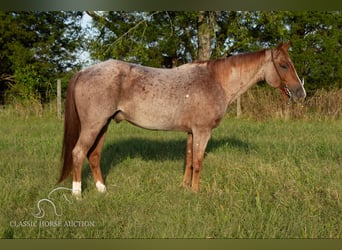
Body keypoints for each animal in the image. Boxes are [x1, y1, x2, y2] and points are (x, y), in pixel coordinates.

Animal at [57, 41, 306, 197]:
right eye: (284, 65)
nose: (300, 93)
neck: (216, 81)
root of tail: (83, 72)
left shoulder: (190, 132)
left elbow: (188, 159)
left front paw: (184, 187)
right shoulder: (202, 131)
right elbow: (198, 161)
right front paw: (196, 192)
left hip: (103, 125)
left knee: (94, 155)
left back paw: (102, 190)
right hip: (93, 125)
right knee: (78, 153)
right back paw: (77, 194)